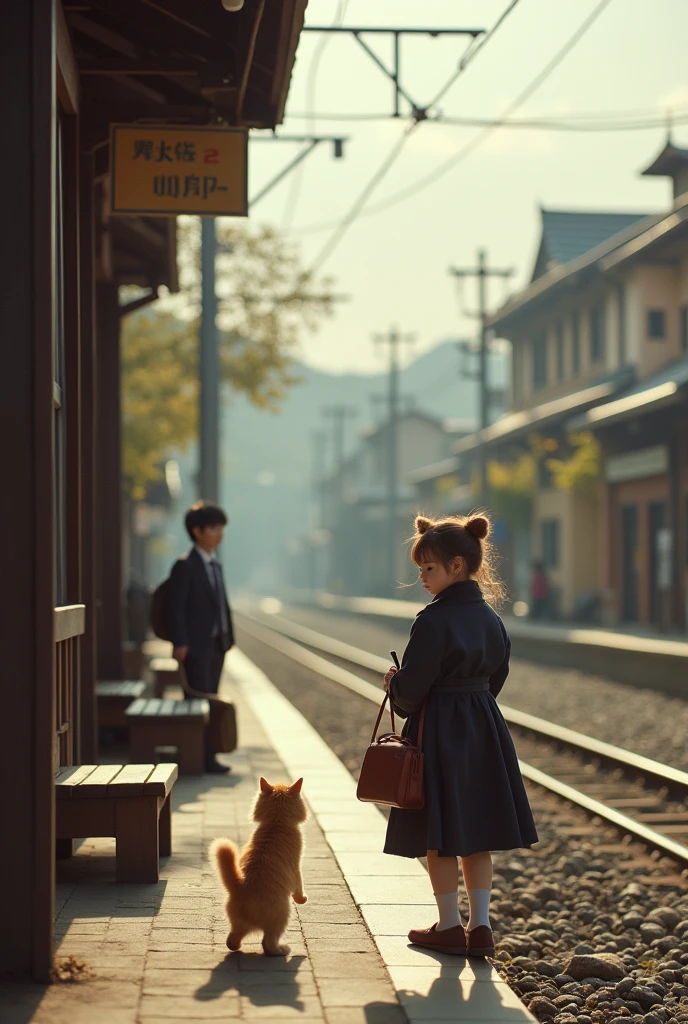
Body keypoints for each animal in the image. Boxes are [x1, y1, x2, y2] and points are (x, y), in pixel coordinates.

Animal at [207, 778, 307, 954]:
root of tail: (240, 887)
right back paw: (282, 950)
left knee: (232, 941)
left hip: (238, 925)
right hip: (282, 914)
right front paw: (301, 899)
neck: (276, 822)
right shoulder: (296, 866)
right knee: (268, 944)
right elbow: (299, 886)